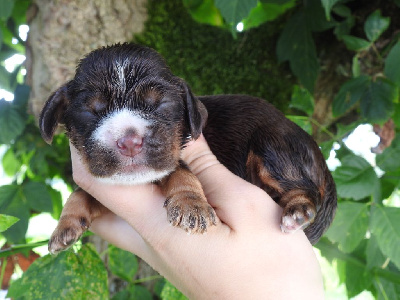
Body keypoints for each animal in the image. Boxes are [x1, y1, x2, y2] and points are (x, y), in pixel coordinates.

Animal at [39, 42, 334, 253]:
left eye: (159, 104)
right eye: (91, 111)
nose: (130, 142)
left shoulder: (177, 158)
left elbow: (182, 172)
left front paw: (192, 206)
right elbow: (80, 194)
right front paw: (65, 226)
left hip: (272, 146)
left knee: (305, 187)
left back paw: (297, 212)